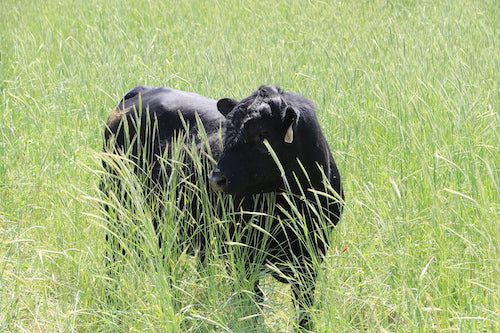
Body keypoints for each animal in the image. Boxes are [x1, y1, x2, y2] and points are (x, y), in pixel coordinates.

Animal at [101, 85, 344, 330]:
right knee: (113, 259)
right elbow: (251, 305)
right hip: (116, 208)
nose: (216, 178)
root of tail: (144, 91)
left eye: (262, 135)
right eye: (227, 132)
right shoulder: (241, 256)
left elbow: (304, 307)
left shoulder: (311, 257)